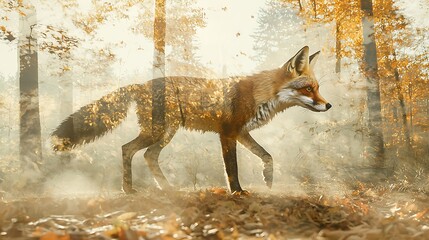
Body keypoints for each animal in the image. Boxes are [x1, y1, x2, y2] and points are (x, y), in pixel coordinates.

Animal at [51, 46, 332, 194]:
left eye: (317, 88)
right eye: (308, 89)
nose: (328, 105)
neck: (258, 95)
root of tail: (141, 84)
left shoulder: (242, 132)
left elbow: (267, 155)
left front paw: (268, 179)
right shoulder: (227, 133)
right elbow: (232, 168)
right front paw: (237, 192)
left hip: (165, 133)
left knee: (148, 155)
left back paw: (165, 188)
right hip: (159, 131)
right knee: (127, 149)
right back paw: (129, 189)